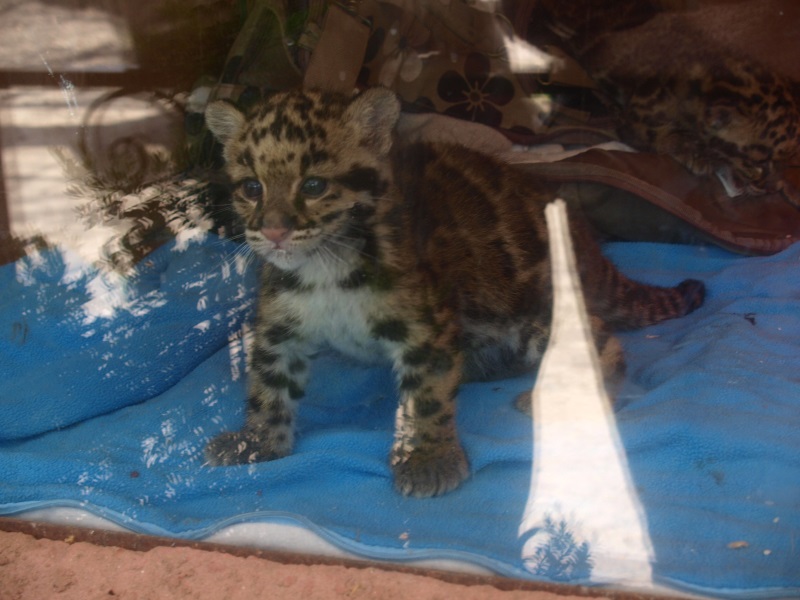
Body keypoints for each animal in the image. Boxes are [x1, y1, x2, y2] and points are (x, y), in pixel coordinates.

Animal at [202, 87, 705, 497]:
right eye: (251, 187)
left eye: (313, 185)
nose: (274, 232)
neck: (323, 266)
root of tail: (589, 249)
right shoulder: (278, 327)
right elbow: (269, 384)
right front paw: (257, 442)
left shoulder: (428, 324)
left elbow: (426, 394)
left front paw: (429, 460)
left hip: (531, 312)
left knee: (603, 340)